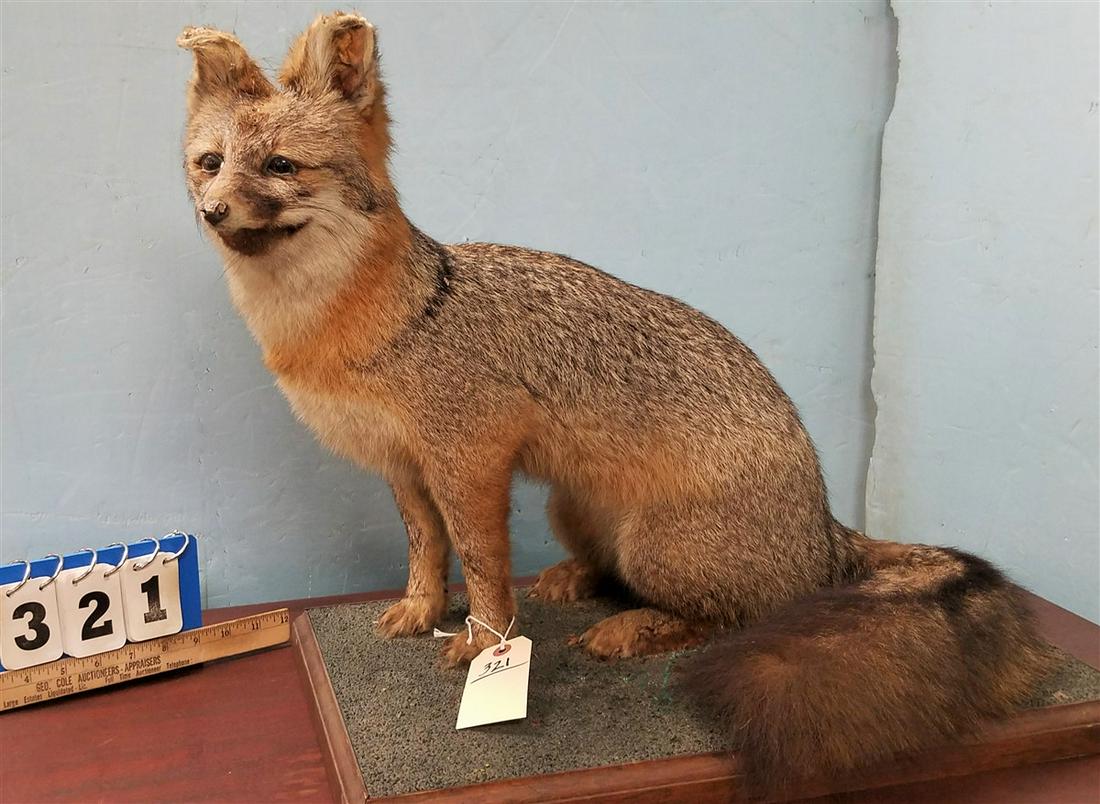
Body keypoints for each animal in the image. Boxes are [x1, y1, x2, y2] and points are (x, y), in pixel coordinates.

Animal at [177, 12, 1051, 792]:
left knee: (746, 615)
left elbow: (482, 562)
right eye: (210, 163)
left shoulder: (469, 461)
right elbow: (426, 548)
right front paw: (421, 610)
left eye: (282, 166)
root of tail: (826, 523)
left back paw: (633, 628)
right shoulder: (402, 465)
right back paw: (578, 582)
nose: (212, 213)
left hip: (659, 546)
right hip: (573, 504)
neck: (389, 313)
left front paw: (486, 646)